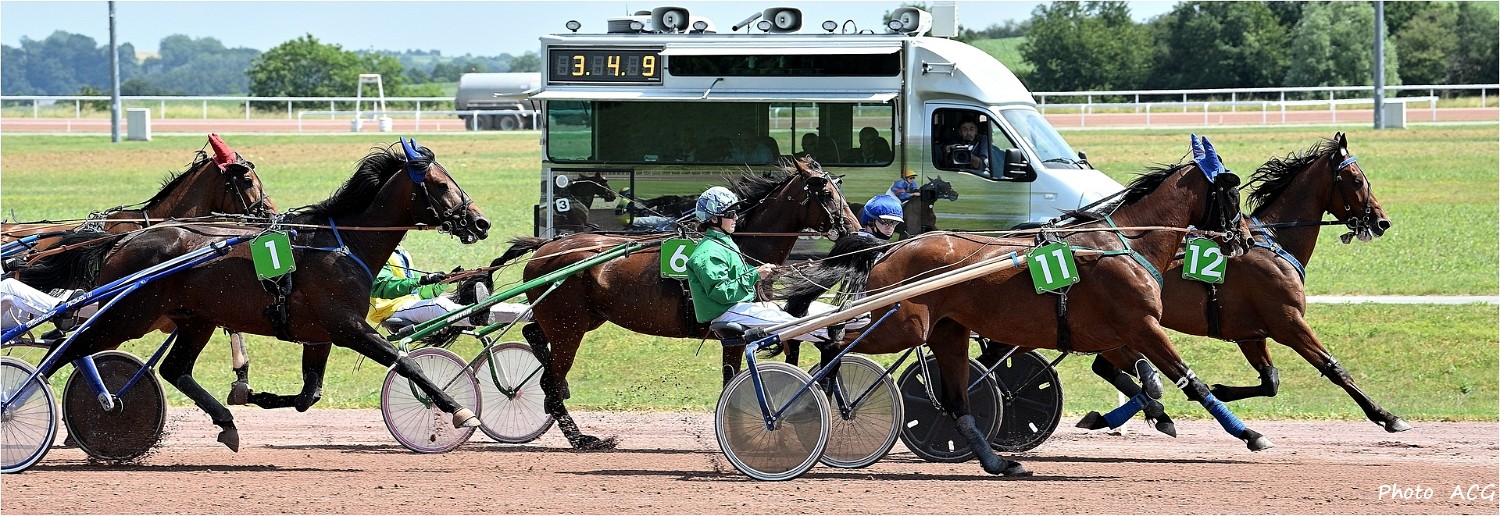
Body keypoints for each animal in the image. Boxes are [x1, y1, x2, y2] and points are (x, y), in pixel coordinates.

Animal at [21, 138, 490, 451]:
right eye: (440, 184)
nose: (481, 222)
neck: (341, 245)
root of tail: (121, 240)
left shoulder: (319, 335)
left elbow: (308, 396)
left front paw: (251, 395)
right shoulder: (348, 327)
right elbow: (406, 363)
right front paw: (459, 409)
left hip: (194, 320)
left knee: (173, 369)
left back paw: (226, 421)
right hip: (128, 316)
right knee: (69, 349)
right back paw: (28, 405)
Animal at [490, 156, 858, 449]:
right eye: (826, 193)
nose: (855, 228)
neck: (741, 243)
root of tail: (545, 248)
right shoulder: (734, 332)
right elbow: (734, 378)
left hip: (578, 320)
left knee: (534, 335)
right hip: (569, 328)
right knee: (549, 381)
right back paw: (582, 438)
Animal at [784, 136, 1257, 476]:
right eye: (1232, 194)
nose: (1246, 239)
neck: (1123, 244)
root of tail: (890, 248)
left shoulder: (1117, 331)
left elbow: (1148, 382)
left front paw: (1151, 416)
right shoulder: (1141, 325)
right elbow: (1190, 382)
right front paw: (1249, 433)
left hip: (947, 332)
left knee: (955, 400)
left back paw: (998, 462)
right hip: (900, 324)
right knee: (834, 341)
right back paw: (822, 402)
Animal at [1081, 132, 1406, 433]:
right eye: (1357, 180)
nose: (1382, 222)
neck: (1273, 241)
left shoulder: (1251, 334)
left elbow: (1270, 381)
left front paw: (1221, 390)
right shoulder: (1288, 322)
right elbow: (1334, 368)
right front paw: (1386, 416)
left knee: (1105, 365)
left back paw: (1139, 415)